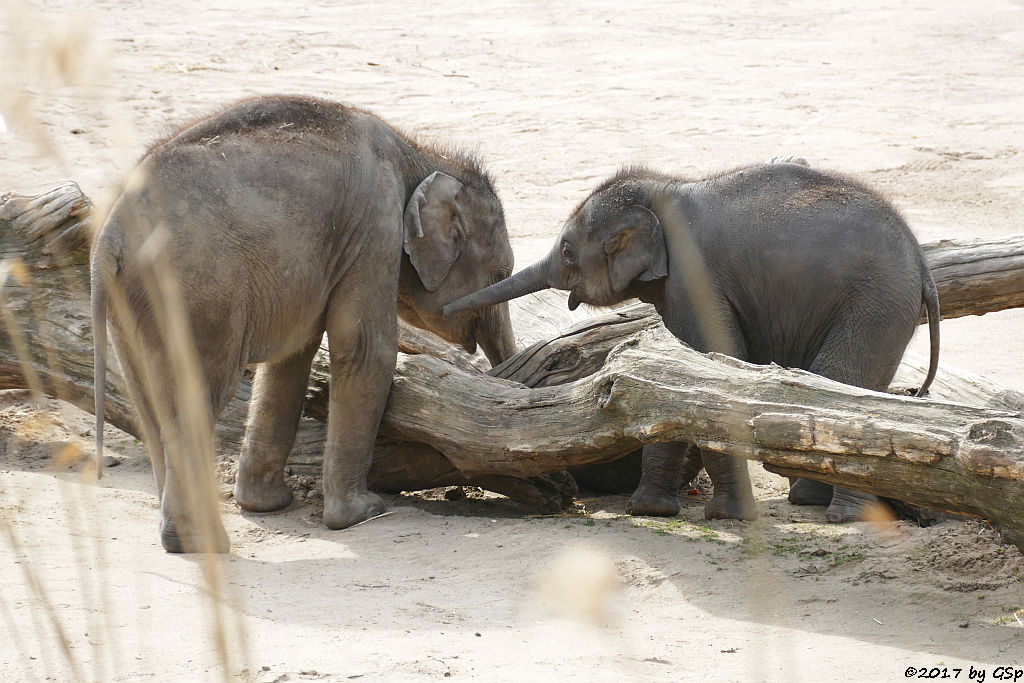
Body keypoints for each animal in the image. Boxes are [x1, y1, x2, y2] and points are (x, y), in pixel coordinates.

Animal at [91, 96, 516, 552]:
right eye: (501, 272)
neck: (418, 153)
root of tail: (109, 234)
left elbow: (291, 359)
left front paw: (266, 505)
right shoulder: (374, 228)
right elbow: (365, 350)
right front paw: (362, 513)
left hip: (132, 301)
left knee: (148, 405)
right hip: (195, 293)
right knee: (193, 403)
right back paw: (202, 544)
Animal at [444, 158, 937, 524]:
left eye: (567, 252)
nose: (447, 311)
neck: (664, 188)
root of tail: (921, 261)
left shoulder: (695, 280)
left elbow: (713, 361)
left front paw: (723, 517)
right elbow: (672, 381)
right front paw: (650, 511)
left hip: (875, 303)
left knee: (842, 378)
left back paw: (840, 515)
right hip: (886, 310)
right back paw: (809, 500)